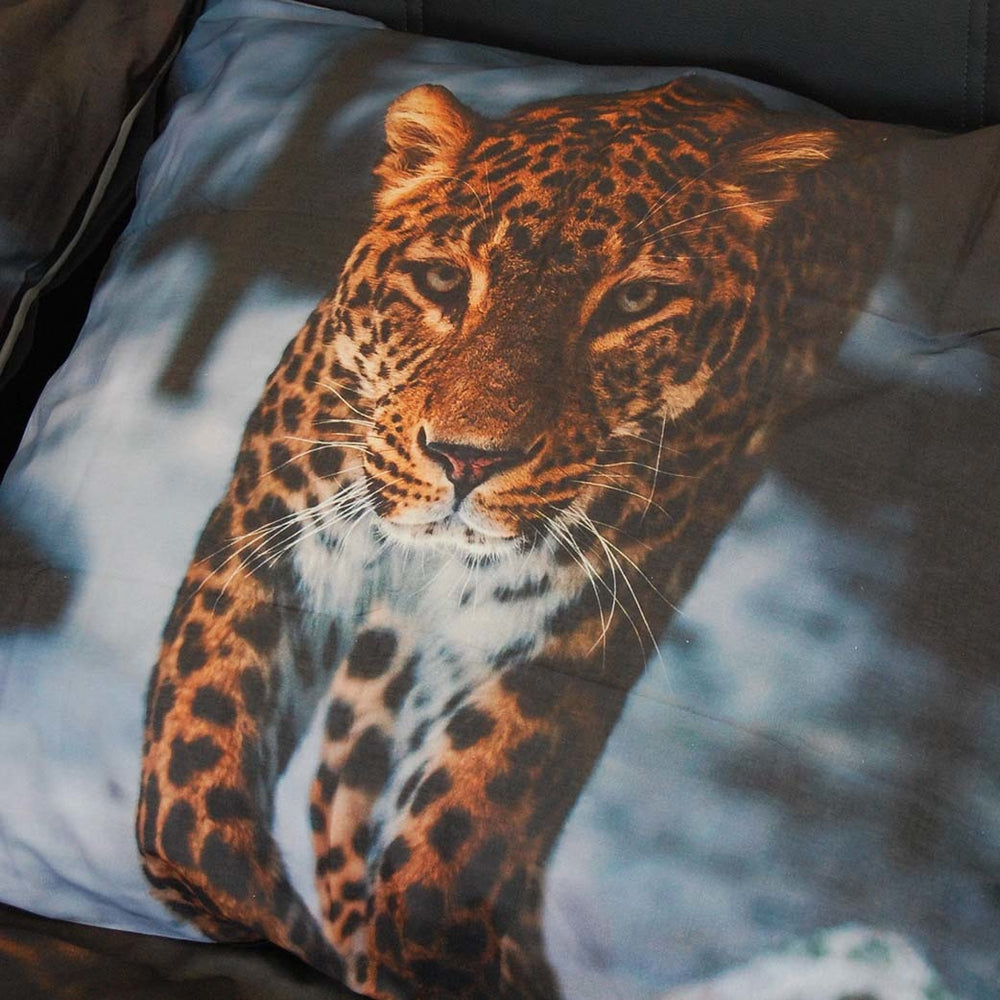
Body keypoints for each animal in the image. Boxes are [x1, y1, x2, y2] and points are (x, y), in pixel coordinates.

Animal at [136, 76, 895, 1000]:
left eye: (634, 302)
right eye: (440, 280)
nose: (468, 458)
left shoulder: (552, 638)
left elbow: (451, 841)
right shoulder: (271, 551)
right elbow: (188, 800)